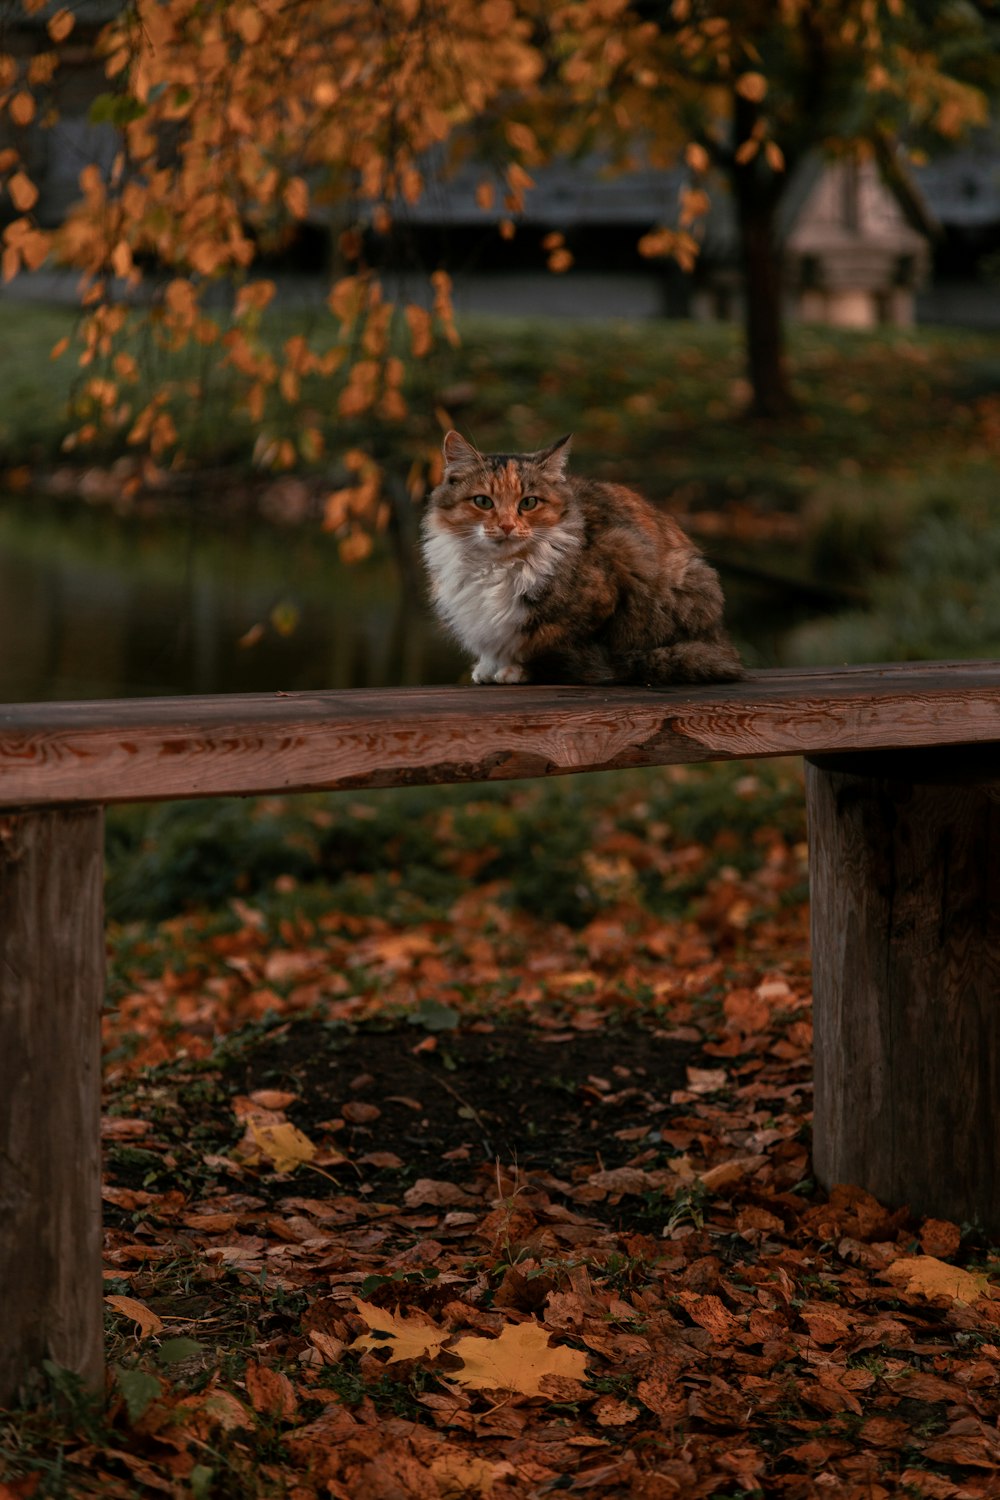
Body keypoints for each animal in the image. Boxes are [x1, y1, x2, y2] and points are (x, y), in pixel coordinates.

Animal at [422, 429, 743, 687]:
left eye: (529, 503)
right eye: (483, 502)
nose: (507, 526)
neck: (496, 566)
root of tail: (720, 644)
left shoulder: (604, 590)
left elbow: (541, 646)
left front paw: (515, 670)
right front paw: (488, 668)